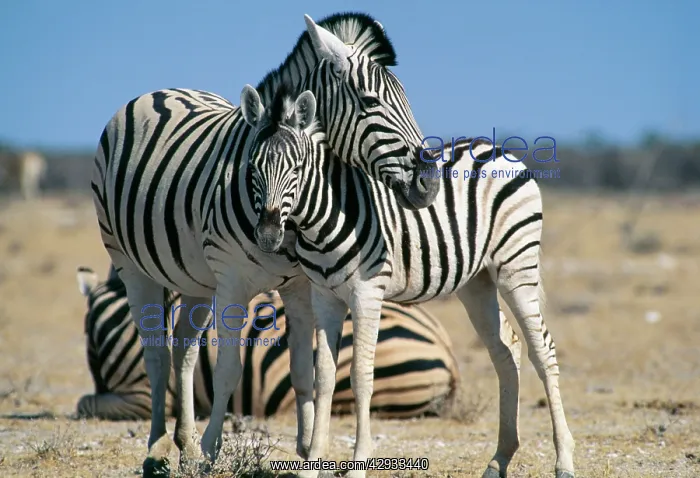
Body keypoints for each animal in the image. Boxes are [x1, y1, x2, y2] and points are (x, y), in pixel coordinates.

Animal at [240, 84, 576, 478]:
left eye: (295, 169)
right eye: (252, 167)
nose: (267, 235)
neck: (325, 218)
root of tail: (496, 148)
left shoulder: (367, 294)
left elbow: (360, 375)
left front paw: (358, 464)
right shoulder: (324, 296)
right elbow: (324, 377)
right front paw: (311, 465)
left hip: (516, 265)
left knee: (543, 348)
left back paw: (564, 460)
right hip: (476, 282)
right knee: (506, 350)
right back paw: (499, 459)